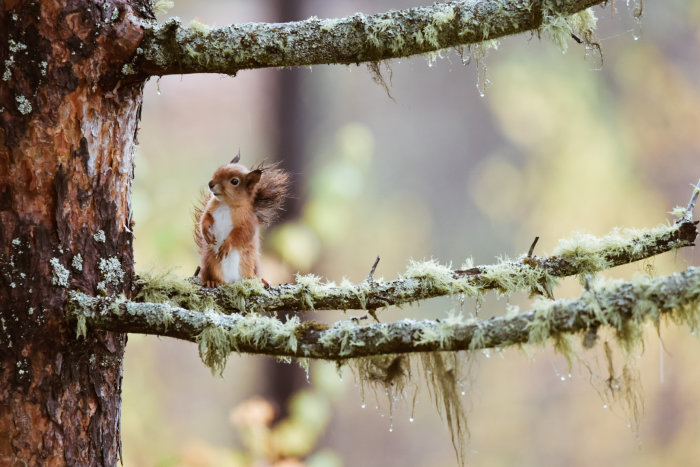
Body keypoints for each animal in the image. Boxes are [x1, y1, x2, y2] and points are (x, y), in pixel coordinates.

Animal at [193, 154, 288, 288]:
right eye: (217, 171)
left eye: (234, 181)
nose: (210, 184)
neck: (226, 205)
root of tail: (231, 280)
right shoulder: (210, 209)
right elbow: (205, 218)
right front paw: (206, 233)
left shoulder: (249, 220)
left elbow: (242, 234)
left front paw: (227, 245)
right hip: (208, 262)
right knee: (207, 274)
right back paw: (212, 281)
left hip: (253, 263)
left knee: (254, 275)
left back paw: (261, 280)